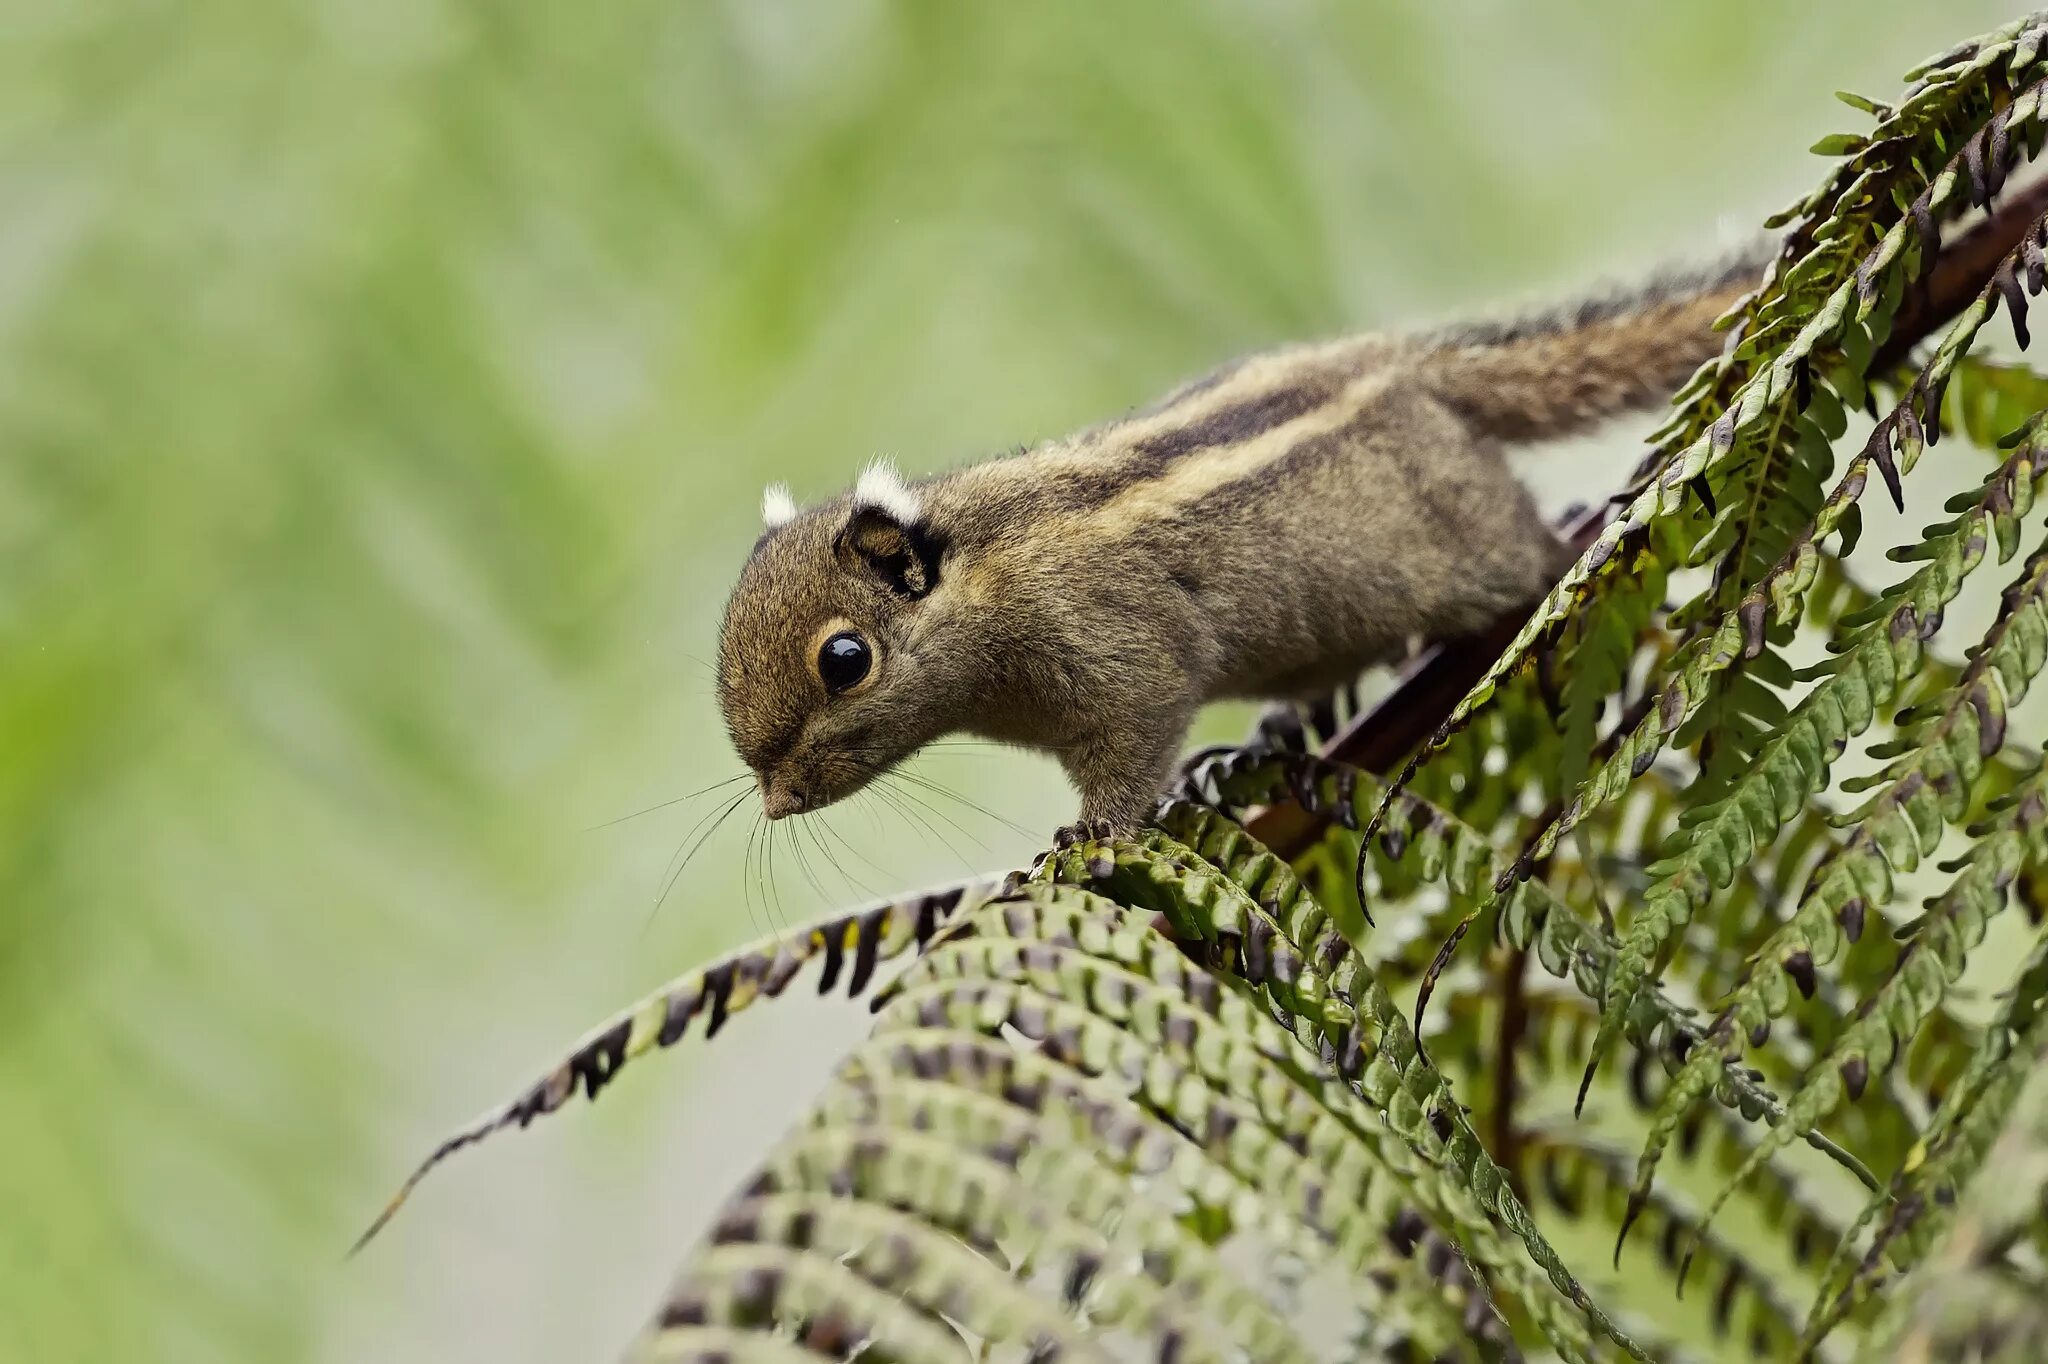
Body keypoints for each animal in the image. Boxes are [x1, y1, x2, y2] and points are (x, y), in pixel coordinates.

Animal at [724, 245, 1777, 839]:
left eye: (845, 659)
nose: (773, 803)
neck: (992, 569)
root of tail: (1408, 365)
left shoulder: (1126, 664)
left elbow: (1134, 746)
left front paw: (1088, 838)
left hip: (1468, 537)